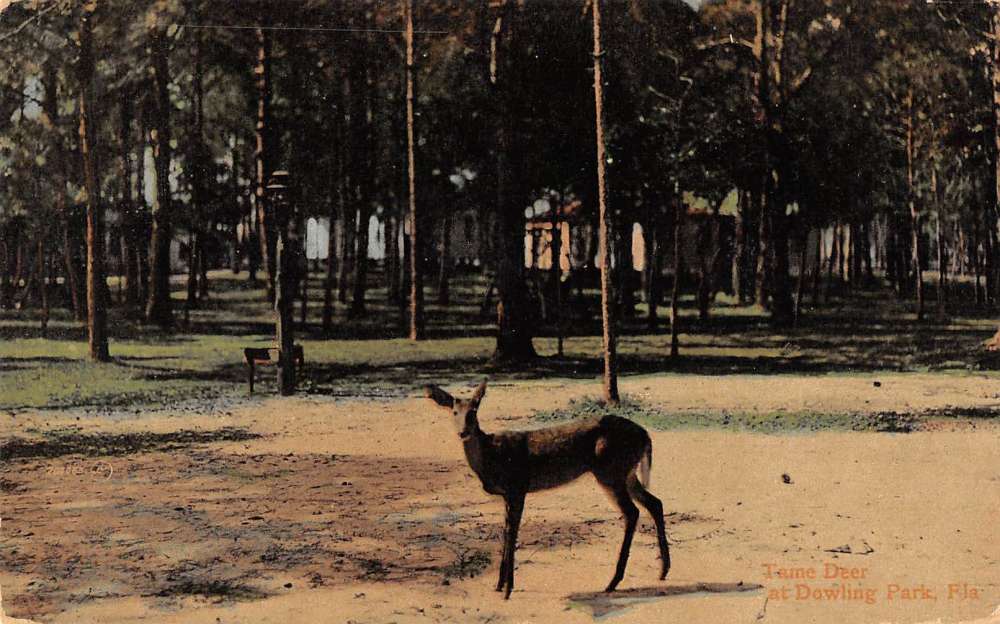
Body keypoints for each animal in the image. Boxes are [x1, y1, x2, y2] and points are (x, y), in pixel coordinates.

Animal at [424, 380, 670, 599]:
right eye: (454, 411)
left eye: (474, 410)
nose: (463, 432)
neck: (491, 458)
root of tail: (645, 434)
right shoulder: (507, 494)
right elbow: (505, 531)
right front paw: (499, 585)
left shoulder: (517, 487)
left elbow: (512, 532)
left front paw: (508, 589)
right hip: (627, 473)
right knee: (654, 503)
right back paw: (663, 571)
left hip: (610, 470)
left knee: (632, 512)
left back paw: (613, 582)